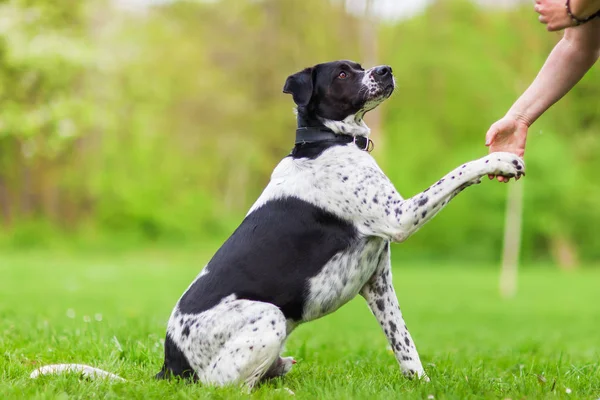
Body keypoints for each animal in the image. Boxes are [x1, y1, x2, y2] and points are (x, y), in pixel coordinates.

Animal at [29, 61, 524, 390]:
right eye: (342, 74)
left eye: (361, 66)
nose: (385, 69)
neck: (327, 143)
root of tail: (170, 367)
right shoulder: (398, 217)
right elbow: (458, 172)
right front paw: (500, 159)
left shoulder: (377, 282)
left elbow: (404, 343)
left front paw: (419, 384)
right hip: (267, 317)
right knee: (225, 389)